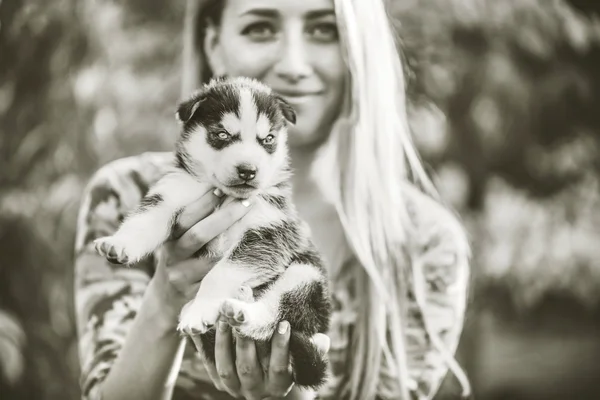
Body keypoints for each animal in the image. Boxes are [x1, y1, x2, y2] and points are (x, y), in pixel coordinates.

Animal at [96, 76, 336, 390]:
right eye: (221, 134)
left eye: (268, 140)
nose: (248, 170)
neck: (225, 197)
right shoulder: (173, 193)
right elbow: (145, 219)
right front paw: (120, 244)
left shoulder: (269, 233)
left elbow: (222, 272)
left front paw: (202, 309)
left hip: (306, 276)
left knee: (276, 316)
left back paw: (242, 312)